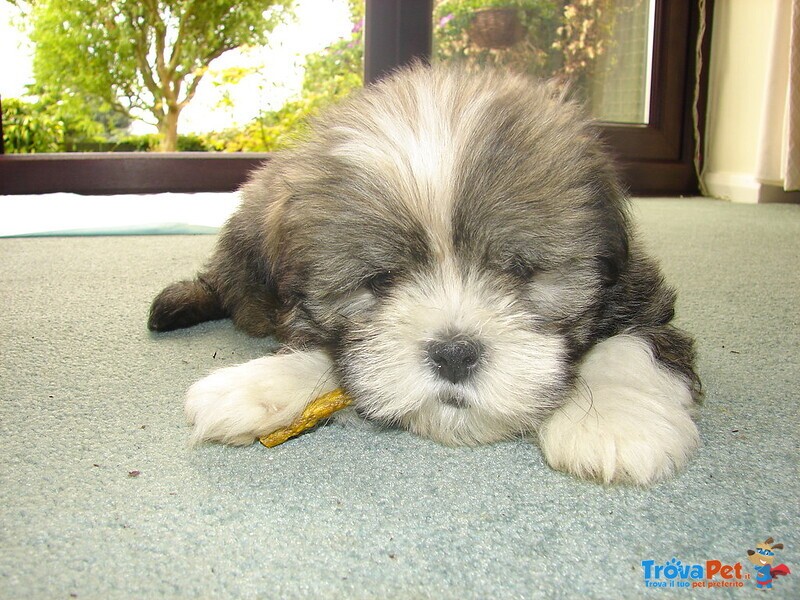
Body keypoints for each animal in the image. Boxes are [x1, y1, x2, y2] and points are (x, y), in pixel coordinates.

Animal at [148, 64, 700, 488]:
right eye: (379, 281)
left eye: (520, 270)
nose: (454, 353)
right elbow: (336, 352)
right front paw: (256, 386)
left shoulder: (640, 291)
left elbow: (630, 345)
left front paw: (613, 418)